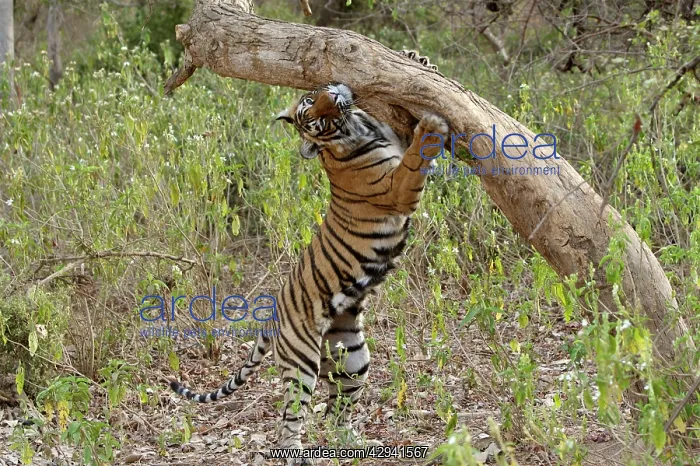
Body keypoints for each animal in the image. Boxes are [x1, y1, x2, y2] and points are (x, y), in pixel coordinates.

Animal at [169, 51, 447, 463]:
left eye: (312, 99)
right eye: (317, 117)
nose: (336, 94)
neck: (356, 128)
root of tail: (270, 317)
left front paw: (419, 60)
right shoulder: (398, 190)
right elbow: (415, 158)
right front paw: (432, 123)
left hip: (352, 357)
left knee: (336, 411)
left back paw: (353, 443)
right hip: (301, 362)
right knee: (289, 420)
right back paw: (299, 452)